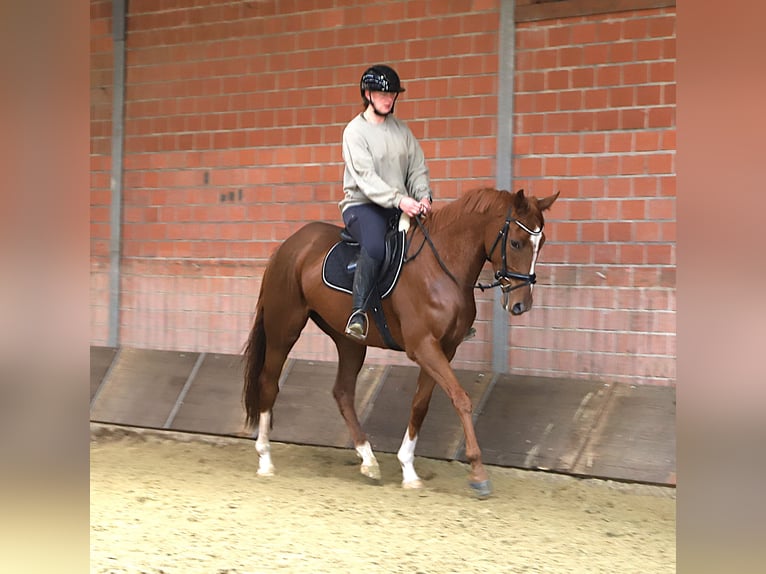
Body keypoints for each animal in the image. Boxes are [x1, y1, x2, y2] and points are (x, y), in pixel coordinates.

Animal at [242, 187, 559, 497]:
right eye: (516, 243)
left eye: (541, 242)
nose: (521, 305)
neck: (440, 267)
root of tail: (290, 245)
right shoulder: (423, 347)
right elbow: (461, 399)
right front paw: (478, 474)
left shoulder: (444, 349)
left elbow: (420, 404)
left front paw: (408, 470)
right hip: (284, 329)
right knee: (268, 383)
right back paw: (265, 459)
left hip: (349, 342)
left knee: (342, 392)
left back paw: (368, 460)